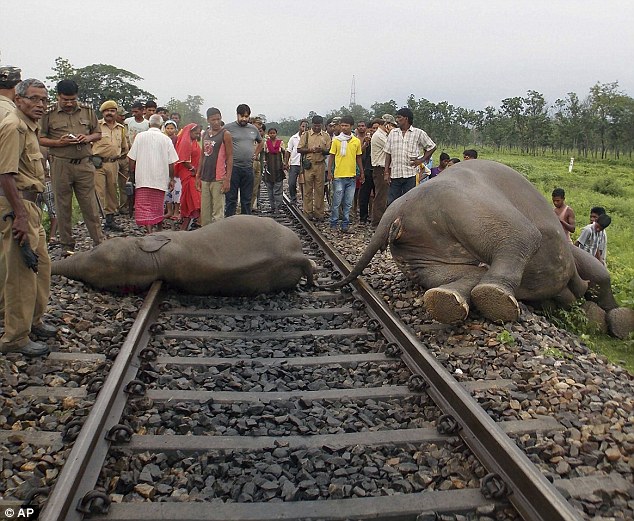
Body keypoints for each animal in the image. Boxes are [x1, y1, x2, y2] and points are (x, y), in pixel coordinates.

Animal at [320, 158, 632, 338]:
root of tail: (394, 211)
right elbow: (595, 275)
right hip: (466, 206)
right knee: (522, 236)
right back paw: (498, 300)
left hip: (422, 248)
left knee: (465, 273)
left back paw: (448, 302)